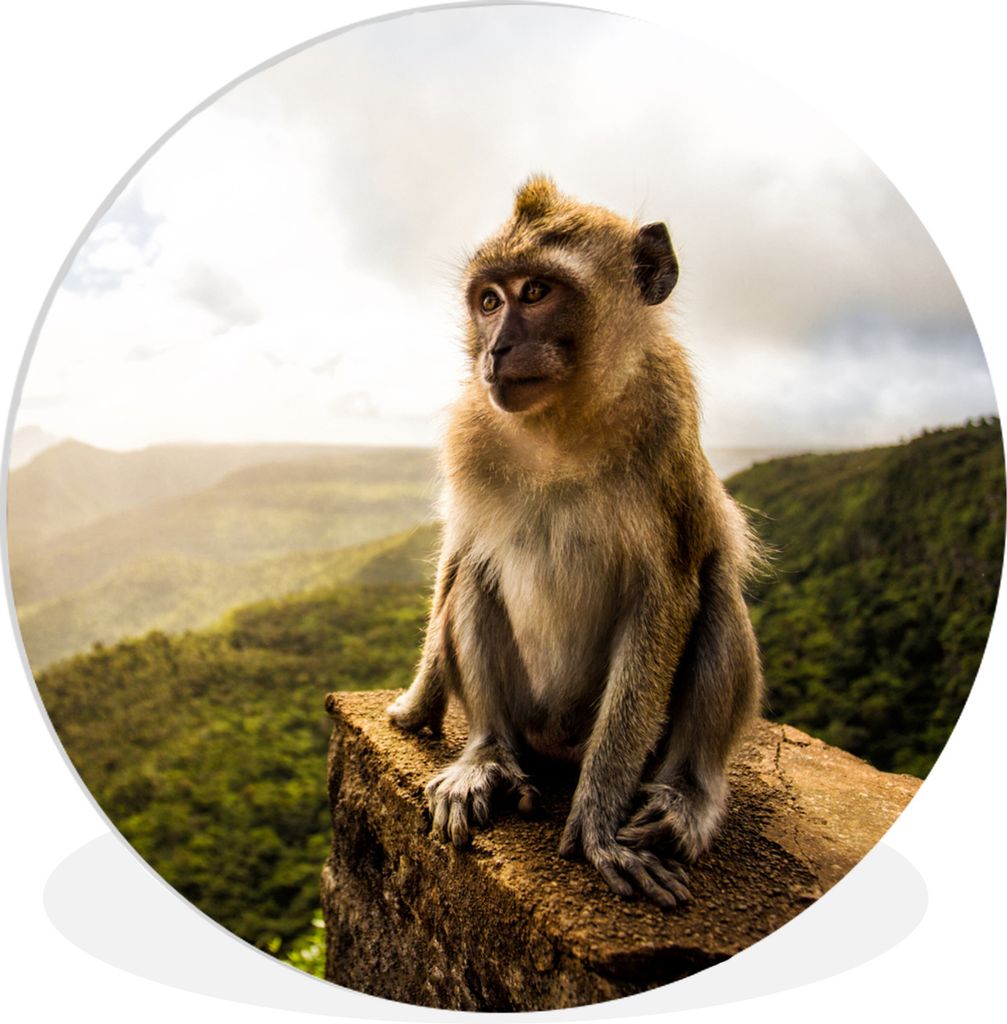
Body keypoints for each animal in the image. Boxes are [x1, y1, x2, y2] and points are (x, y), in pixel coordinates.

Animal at [386, 176, 763, 908]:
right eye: (489, 300)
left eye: (536, 291)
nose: (495, 350)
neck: (559, 424)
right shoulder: (469, 431)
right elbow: (459, 552)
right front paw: (418, 702)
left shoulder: (668, 423)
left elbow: (668, 591)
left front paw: (596, 823)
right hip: (528, 719)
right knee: (475, 579)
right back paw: (486, 757)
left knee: (714, 596)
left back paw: (687, 794)